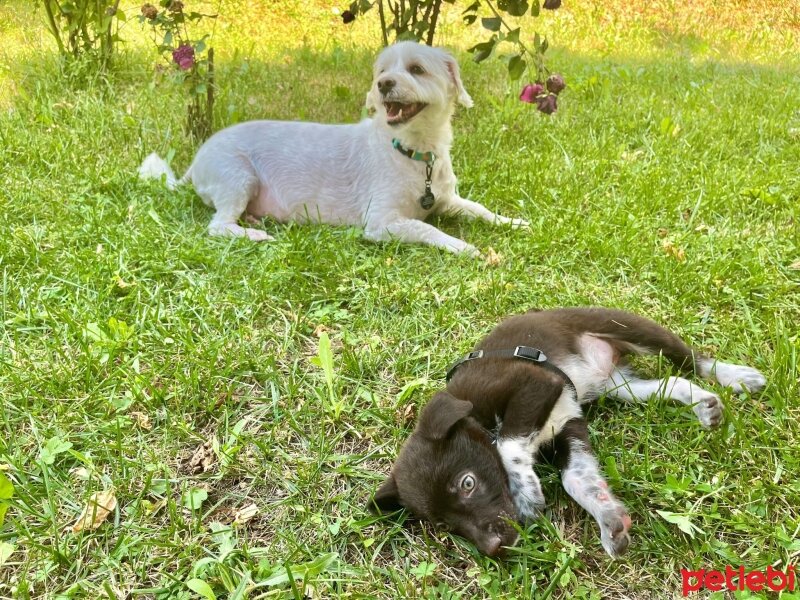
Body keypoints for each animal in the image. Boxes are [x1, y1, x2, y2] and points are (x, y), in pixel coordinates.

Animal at [139, 41, 524, 254]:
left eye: (417, 69)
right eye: (381, 71)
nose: (383, 84)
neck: (413, 152)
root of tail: (197, 160)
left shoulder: (448, 200)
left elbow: (480, 209)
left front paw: (512, 222)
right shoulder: (381, 223)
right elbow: (429, 229)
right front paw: (463, 246)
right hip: (237, 177)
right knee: (218, 226)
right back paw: (254, 233)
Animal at [368, 310, 768, 556]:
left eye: (467, 483)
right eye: (443, 525)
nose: (495, 549)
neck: (475, 411)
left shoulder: (536, 384)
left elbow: (507, 443)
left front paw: (525, 492)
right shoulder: (570, 425)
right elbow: (578, 480)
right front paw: (608, 517)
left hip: (624, 325)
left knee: (691, 359)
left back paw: (735, 375)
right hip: (619, 386)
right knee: (672, 382)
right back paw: (704, 405)